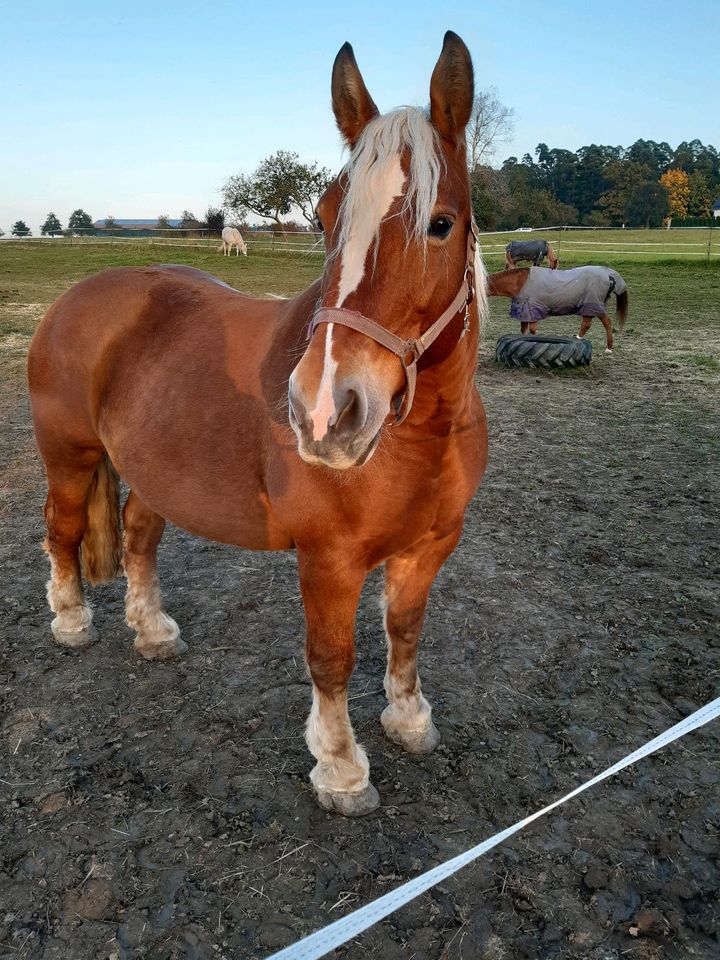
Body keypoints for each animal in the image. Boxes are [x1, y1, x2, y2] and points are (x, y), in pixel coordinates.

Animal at [28, 35, 490, 816]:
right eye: (327, 217)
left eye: (441, 222)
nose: (326, 410)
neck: (423, 438)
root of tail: (75, 298)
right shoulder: (329, 558)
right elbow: (331, 658)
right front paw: (341, 770)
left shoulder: (431, 546)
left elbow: (404, 631)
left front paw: (409, 721)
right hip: (69, 457)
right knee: (62, 532)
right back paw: (71, 622)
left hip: (153, 470)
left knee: (138, 536)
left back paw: (153, 632)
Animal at [486, 264, 628, 350]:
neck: (521, 282)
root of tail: (609, 274)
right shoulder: (525, 313)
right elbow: (523, 331)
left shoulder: (533, 311)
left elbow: (532, 331)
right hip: (588, 306)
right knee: (587, 323)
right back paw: (577, 338)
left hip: (595, 305)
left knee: (607, 322)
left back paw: (609, 348)